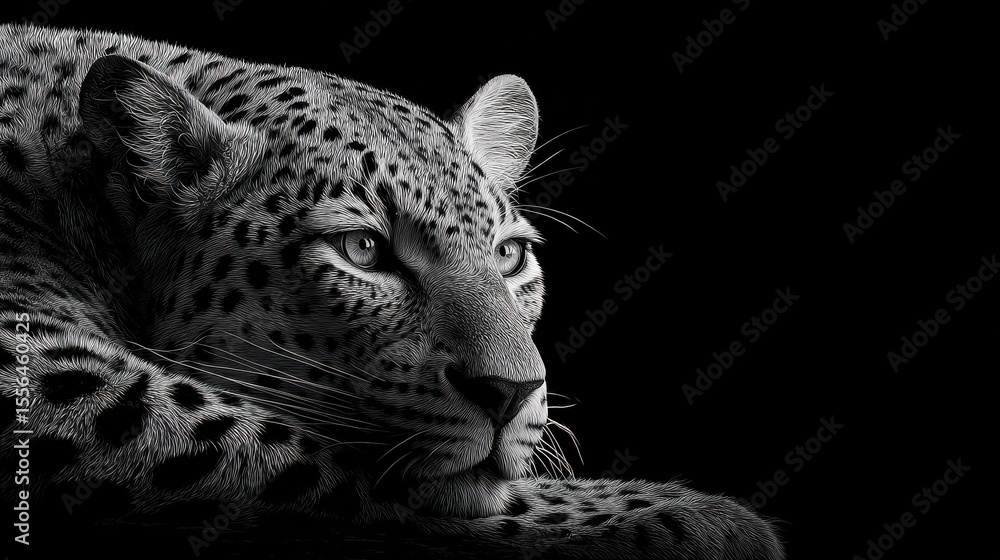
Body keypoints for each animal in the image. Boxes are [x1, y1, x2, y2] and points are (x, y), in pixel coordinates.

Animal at [0, 23, 784, 559]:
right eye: (363, 250)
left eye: (509, 255)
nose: (513, 393)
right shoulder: (37, 358)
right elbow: (283, 448)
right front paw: (687, 517)